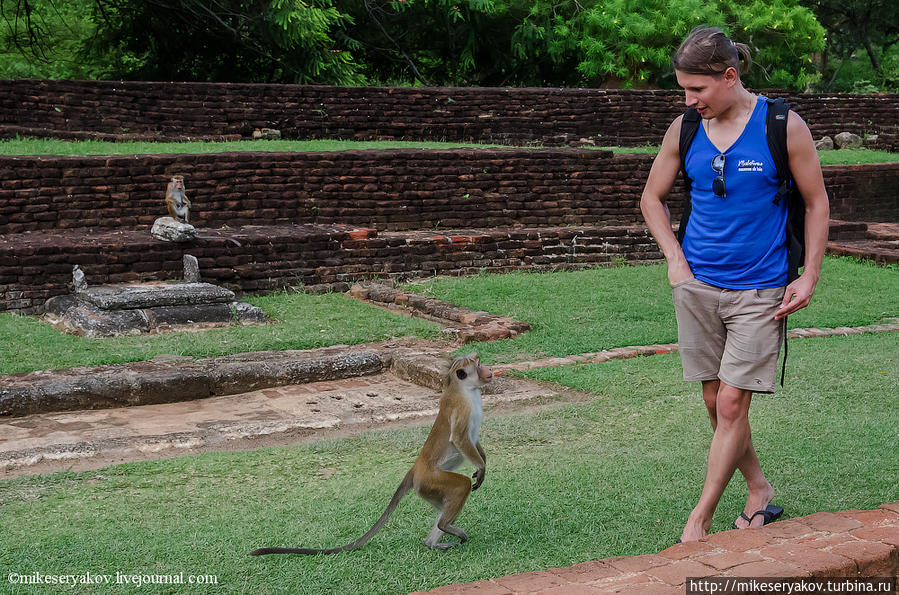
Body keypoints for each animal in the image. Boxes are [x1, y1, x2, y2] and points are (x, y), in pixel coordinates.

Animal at [251, 352, 492, 556]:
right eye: (478, 365)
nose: (488, 369)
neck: (465, 390)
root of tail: (415, 469)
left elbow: (472, 441)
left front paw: (483, 460)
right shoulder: (462, 408)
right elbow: (459, 439)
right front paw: (480, 467)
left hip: (428, 489)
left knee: (445, 503)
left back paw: (432, 542)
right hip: (432, 480)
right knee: (461, 485)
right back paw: (444, 526)